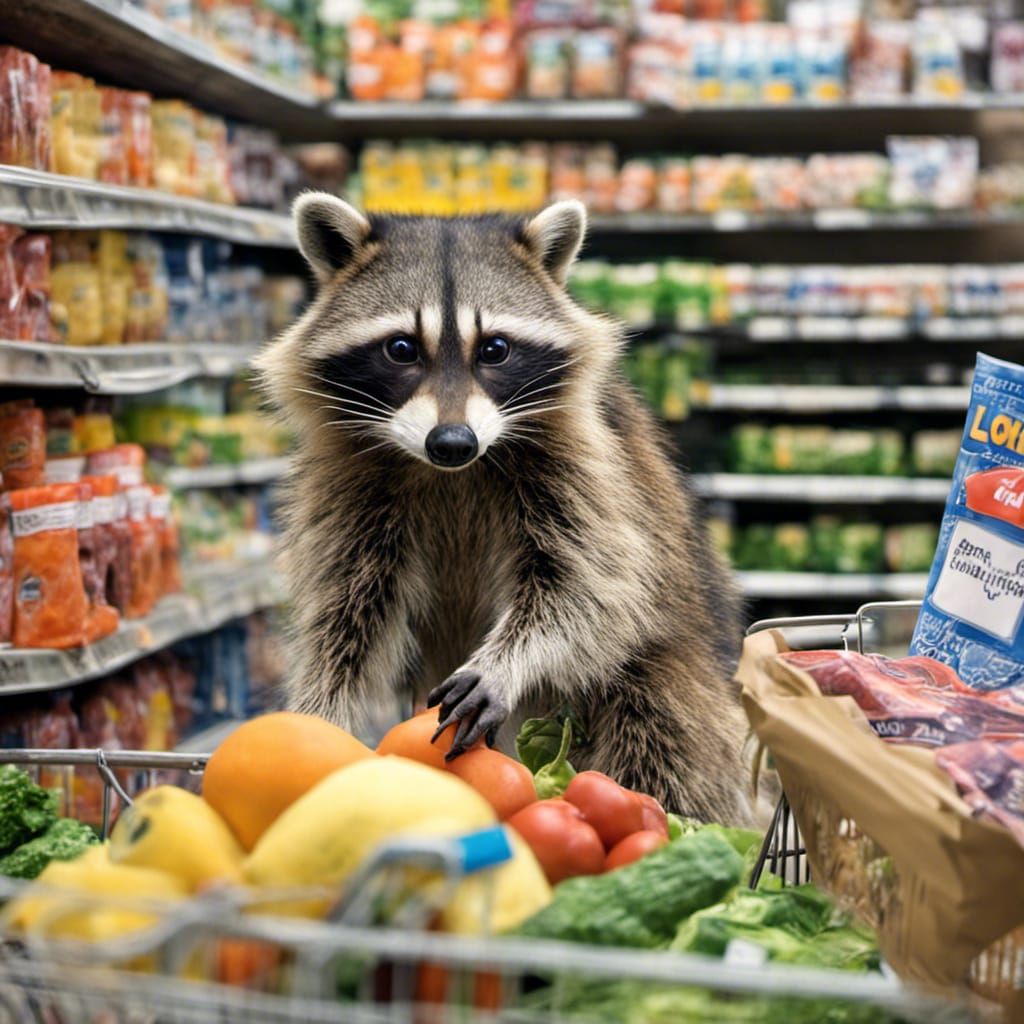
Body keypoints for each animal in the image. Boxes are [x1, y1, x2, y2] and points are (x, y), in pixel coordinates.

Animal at [255, 193, 753, 823]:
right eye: (401, 348)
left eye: (494, 348)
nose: (452, 442)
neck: (450, 473)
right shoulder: (351, 484)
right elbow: (349, 606)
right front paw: (317, 706)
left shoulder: (592, 466)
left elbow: (591, 585)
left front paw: (506, 662)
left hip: (682, 679)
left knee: (661, 722)